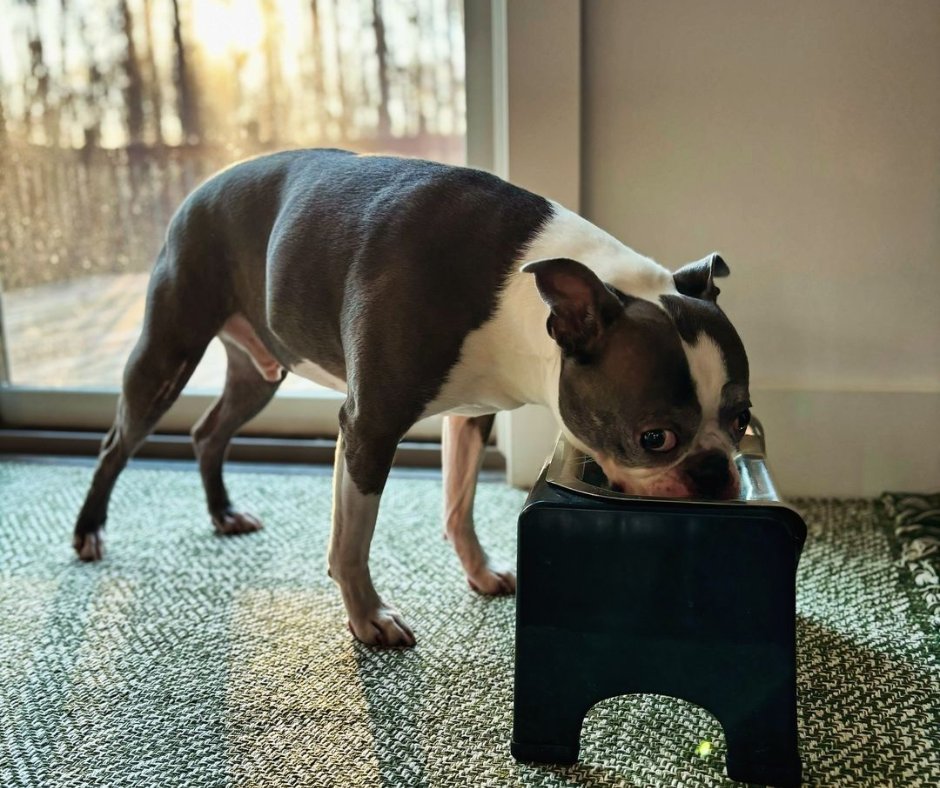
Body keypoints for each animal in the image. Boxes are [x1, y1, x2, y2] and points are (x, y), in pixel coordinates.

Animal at [71, 148, 748, 648]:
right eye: (654, 437)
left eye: (741, 421)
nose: (716, 473)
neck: (515, 291)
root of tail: (197, 189)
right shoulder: (370, 425)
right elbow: (352, 539)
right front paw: (368, 617)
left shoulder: (472, 414)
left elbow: (458, 505)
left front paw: (479, 571)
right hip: (167, 352)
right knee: (116, 444)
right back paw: (88, 532)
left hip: (258, 374)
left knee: (207, 431)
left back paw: (221, 513)